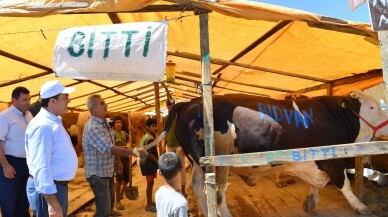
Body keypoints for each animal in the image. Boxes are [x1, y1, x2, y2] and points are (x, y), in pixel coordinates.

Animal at [146, 90, 388, 215]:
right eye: (372, 107)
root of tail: (191, 102)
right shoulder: (332, 160)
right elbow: (344, 185)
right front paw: (361, 206)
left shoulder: (312, 161)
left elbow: (315, 184)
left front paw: (311, 201)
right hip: (217, 163)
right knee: (216, 193)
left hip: (197, 161)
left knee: (198, 187)